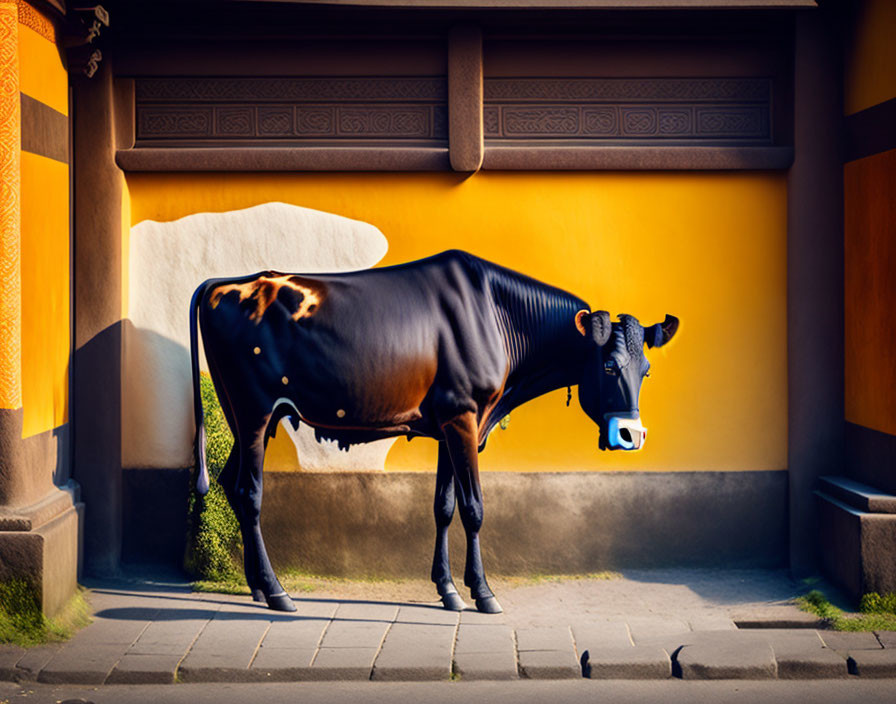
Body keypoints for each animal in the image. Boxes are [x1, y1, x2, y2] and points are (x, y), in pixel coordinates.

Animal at [191, 250, 680, 612]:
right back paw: (277, 591)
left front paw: (448, 590)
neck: (498, 317)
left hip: (242, 414)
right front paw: (483, 592)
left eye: (647, 370)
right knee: (250, 491)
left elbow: (444, 506)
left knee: (231, 483)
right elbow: (474, 507)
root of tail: (225, 283)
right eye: (609, 365)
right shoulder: (464, 414)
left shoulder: (451, 421)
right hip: (254, 409)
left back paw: (257, 586)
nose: (631, 435)